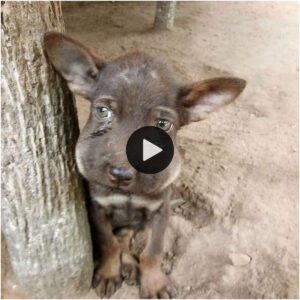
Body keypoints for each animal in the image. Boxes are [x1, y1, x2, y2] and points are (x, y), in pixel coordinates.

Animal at [44, 31, 246, 298]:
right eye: (103, 111)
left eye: (162, 124)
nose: (120, 174)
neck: (127, 192)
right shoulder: (97, 208)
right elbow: (109, 244)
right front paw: (109, 272)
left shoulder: (160, 211)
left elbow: (152, 251)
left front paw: (154, 282)